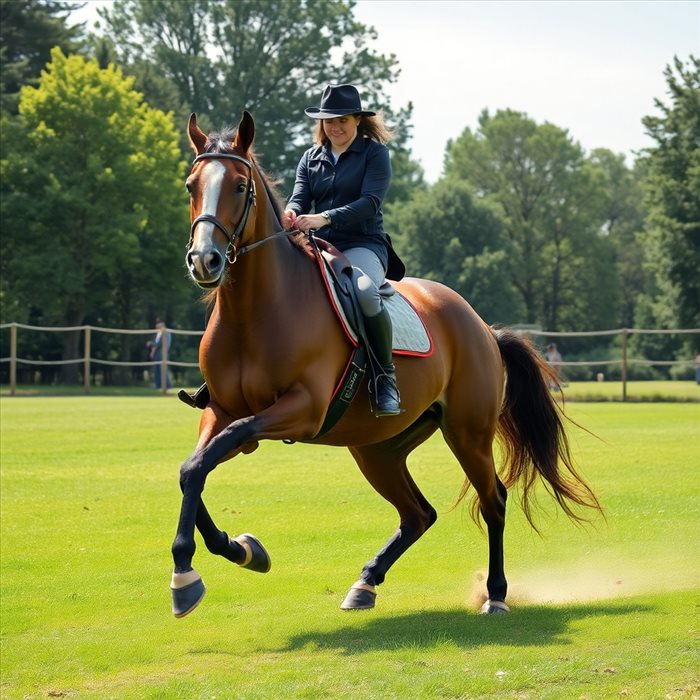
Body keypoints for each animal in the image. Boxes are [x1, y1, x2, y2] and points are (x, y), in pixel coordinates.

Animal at [171, 113, 600, 616]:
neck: (254, 312)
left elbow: (209, 458)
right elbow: (192, 469)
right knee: (417, 513)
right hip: (377, 449)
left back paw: (495, 594)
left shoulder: (299, 410)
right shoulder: (223, 411)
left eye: (239, 186)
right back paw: (366, 583)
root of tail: (482, 327)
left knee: (492, 500)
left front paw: (191, 573)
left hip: (468, 432)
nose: (204, 260)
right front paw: (238, 551)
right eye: (191, 185)